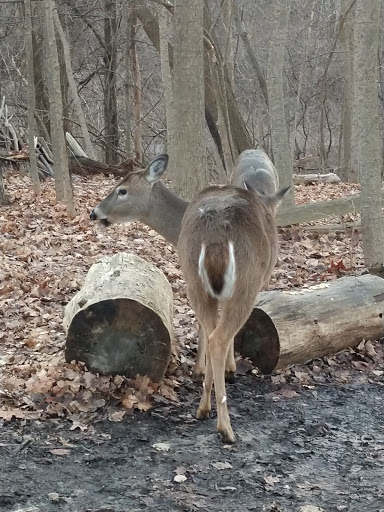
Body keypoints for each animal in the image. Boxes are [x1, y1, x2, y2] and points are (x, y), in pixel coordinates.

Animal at [178, 184, 290, 444]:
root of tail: (214, 237)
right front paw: (231, 369)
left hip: (194, 282)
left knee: (210, 333)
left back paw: (203, 409)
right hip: (246, 283)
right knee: (219, 338)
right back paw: (226, 429)